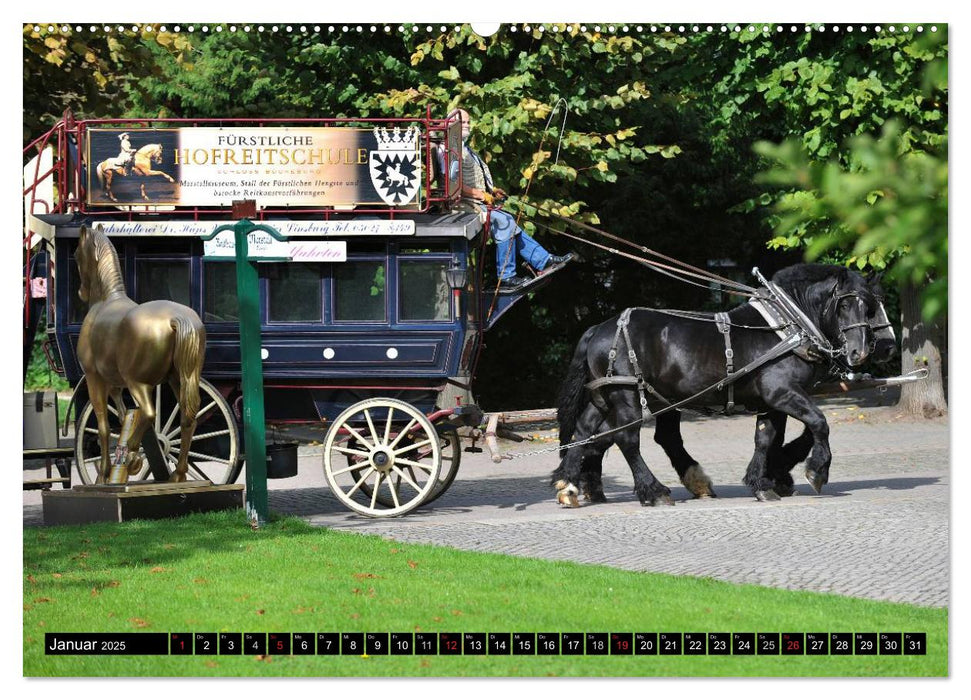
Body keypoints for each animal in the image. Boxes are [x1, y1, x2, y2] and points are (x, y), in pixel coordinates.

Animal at [552, 266, 876, 506]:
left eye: (870, 307)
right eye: (844, 303)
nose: (859, 352)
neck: (786, 326)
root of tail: (599, 328)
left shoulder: (771, 401)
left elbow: (765, 438)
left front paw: (761, 483)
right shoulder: (782, 392)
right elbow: (819, 422)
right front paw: (816, 471)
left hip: (605, 397)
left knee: (585, 431)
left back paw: (569, 485)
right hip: (627, 395)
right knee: (627, 439)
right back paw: (653, 491)